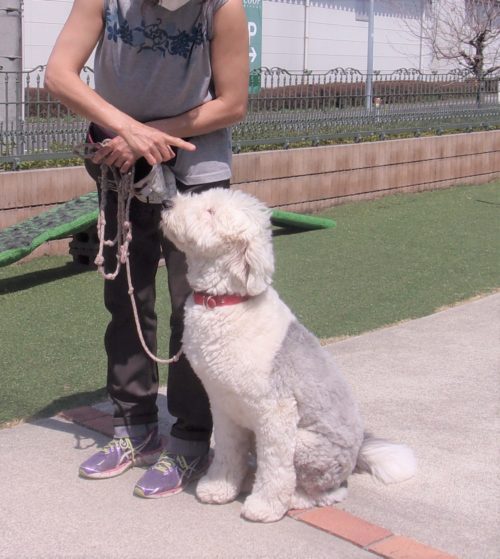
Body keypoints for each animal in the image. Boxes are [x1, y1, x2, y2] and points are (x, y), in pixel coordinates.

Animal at [160, 188, 416, 522]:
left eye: (210, 211)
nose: (166, 203)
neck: (226, 301)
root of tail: (358, 451)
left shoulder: (275, 410)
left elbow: (275, 466)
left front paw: (264, 506)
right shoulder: (224, 405)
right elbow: (228, 451)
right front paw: (218, 488)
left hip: (306, 444)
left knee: (327, 491)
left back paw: (294, 499)